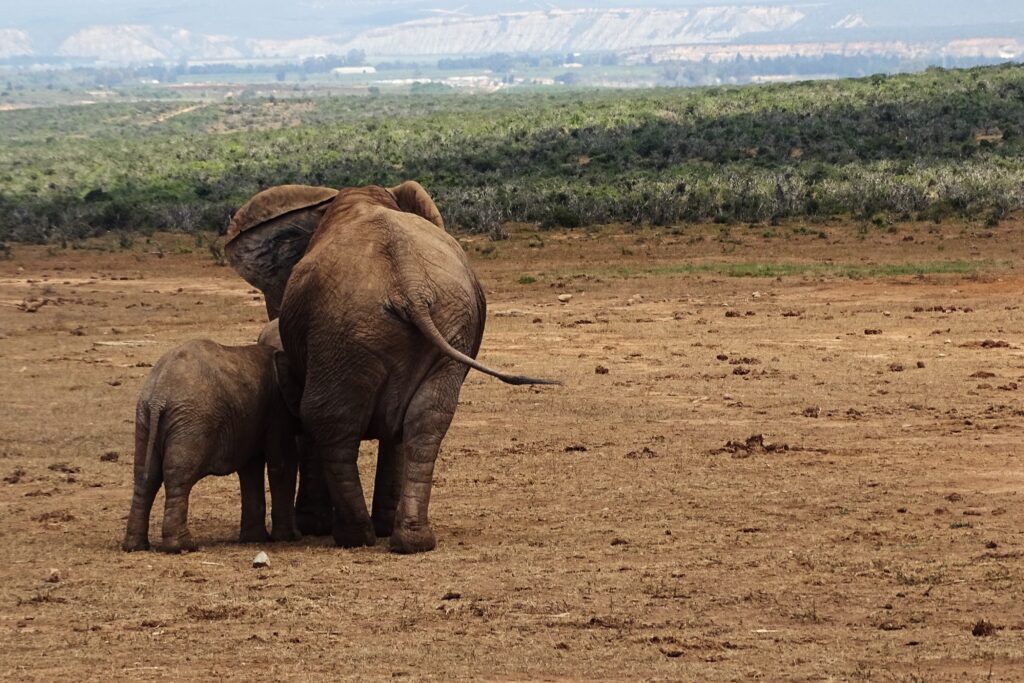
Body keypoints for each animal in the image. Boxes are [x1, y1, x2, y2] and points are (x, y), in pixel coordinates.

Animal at [121, 321, 300, 553]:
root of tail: (159, 396)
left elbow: (250, 468)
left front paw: (255, 540)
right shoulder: (278, 409)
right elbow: (282, 464)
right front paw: (288, 538)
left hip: (144, 419)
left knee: (146, 476)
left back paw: (135, 546)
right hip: (191, 422)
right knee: (178, 475)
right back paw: (182, 546)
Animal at [225, 181, 556, 553]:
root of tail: (409, 285)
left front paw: (315, 526)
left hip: (345, 329)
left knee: (328, 419)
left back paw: (356, 536)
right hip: (442, 321)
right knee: (424, 418)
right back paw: (411, 539)